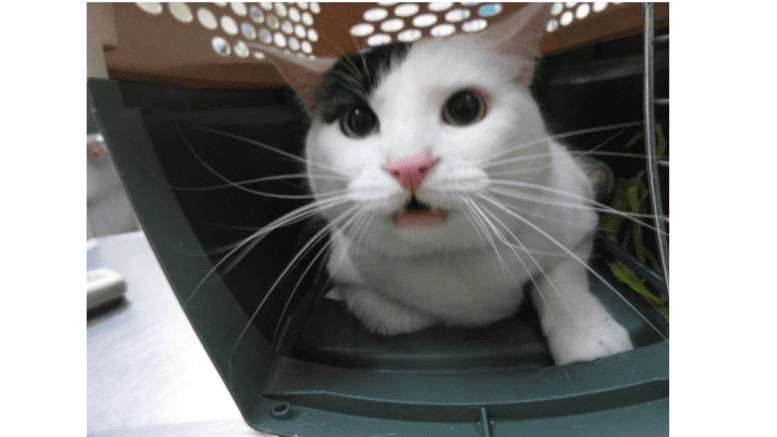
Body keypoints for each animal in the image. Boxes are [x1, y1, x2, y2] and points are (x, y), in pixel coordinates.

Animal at [258, 3, 632, 364]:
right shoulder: (344, 266)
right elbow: (398, 316)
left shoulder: (575, 221)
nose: (409, 166)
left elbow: (561, 281)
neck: (448, 259)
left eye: (465, 107)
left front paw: (587, 336)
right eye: (358, 121)